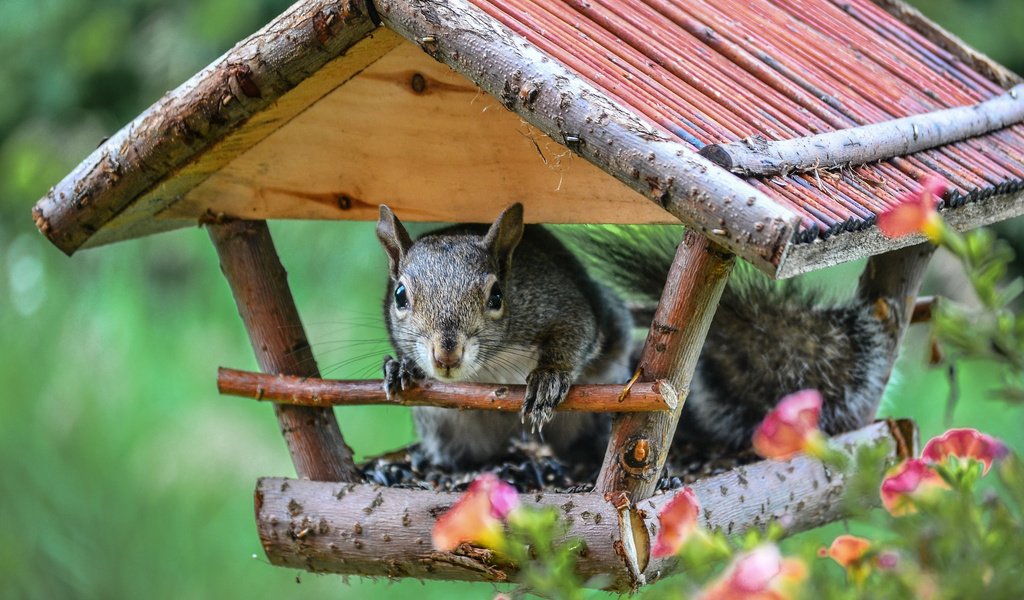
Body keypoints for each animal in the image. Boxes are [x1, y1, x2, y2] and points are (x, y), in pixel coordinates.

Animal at [374, 202, 888, 464]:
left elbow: (575, 334)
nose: (445, 355)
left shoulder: (561, 303)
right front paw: (398, 368)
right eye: (399, 295)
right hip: (448, 430)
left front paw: (548, 379)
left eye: (497, 295)